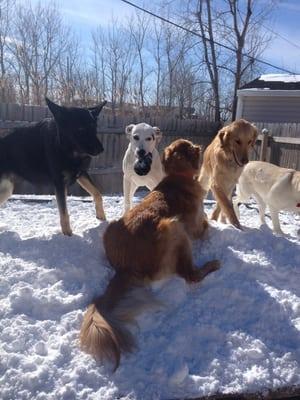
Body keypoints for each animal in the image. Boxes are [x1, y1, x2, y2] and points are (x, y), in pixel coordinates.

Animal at [0, 98, 107, 234]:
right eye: (80, 129)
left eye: (94, 128)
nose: (101, 149)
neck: (66, 149)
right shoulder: (60, 183)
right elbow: (64, 213)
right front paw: (68, 235)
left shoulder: (81, 174)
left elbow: (98, 194)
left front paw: (102, 217)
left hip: (6, 190)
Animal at [79, 139, 220, 370]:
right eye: (190, 146)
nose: (199, 146)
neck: (177, 178)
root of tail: (124, 266)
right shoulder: (195, 228)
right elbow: (206, 224)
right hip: (174, 227)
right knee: (190, 275)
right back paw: (212, 265)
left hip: (112, 228)